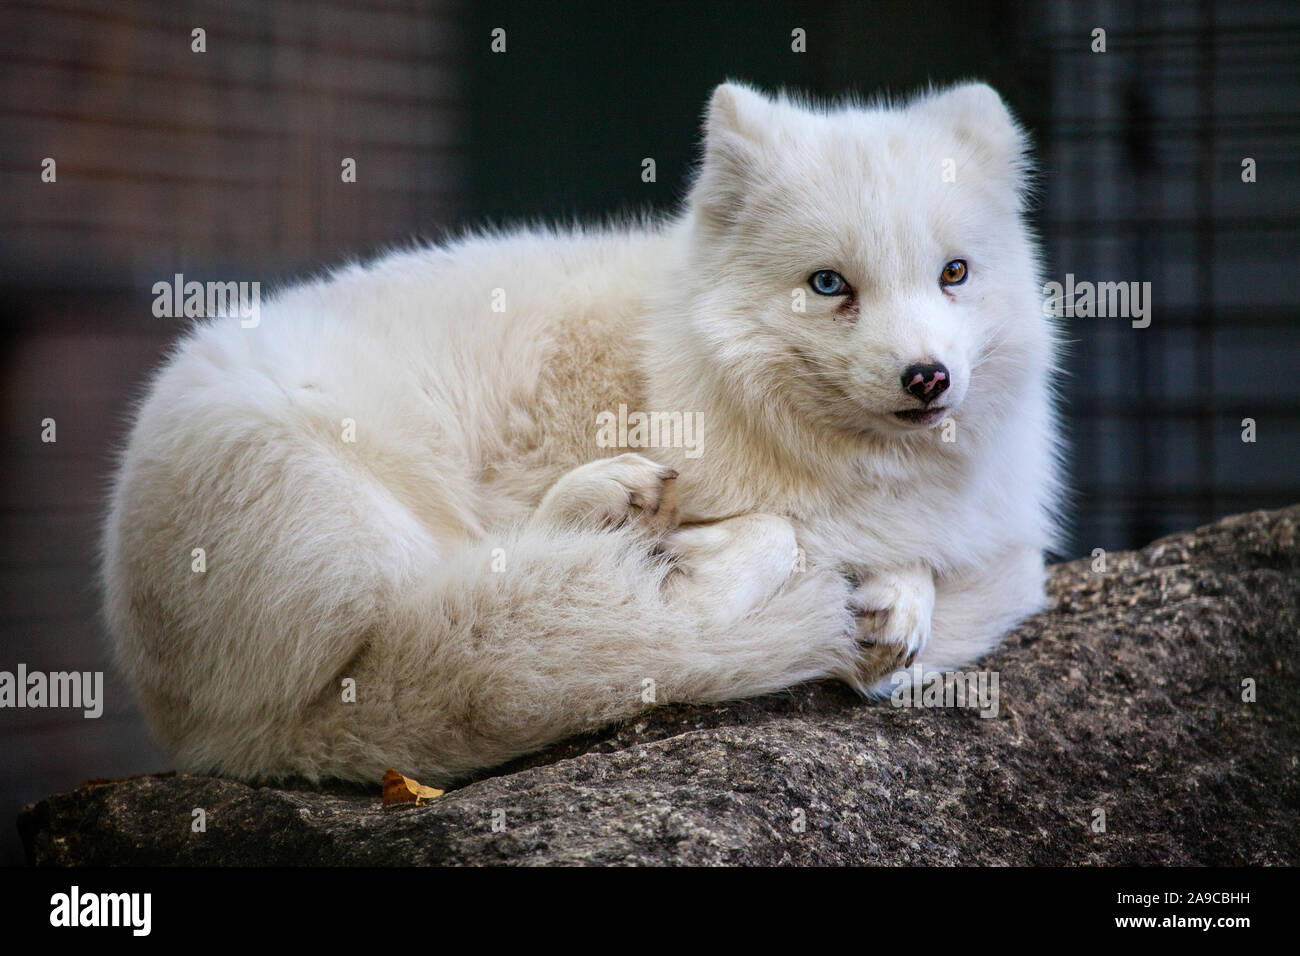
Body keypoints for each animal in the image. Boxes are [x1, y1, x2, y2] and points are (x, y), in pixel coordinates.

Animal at [104, 82, 1066, 785]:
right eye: (829, 284)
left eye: (954, 274)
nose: (927, 377)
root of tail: (213, 737)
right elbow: (786, 533)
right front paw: (720, 561)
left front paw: (900, 600)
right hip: (351, 500)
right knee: (470, 605)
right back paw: (629, 527)